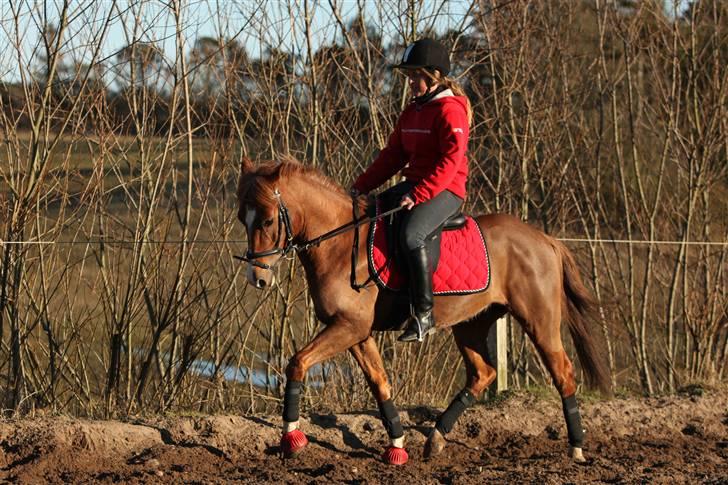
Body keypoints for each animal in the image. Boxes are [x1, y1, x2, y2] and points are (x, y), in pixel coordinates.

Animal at [236, 157, 612, 464]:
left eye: (267, 221)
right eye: (243, 218)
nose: (257, 278)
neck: (340, 245)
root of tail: (544, 239)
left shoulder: (348, 327)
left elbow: (297, 363)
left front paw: (291, 438)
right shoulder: (355, 332)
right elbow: (380, 383)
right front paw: (397, 445)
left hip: (538, 320)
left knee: (563, 373)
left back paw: (576, 448)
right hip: (472, 323)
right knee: (483, 374)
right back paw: (436, 438)